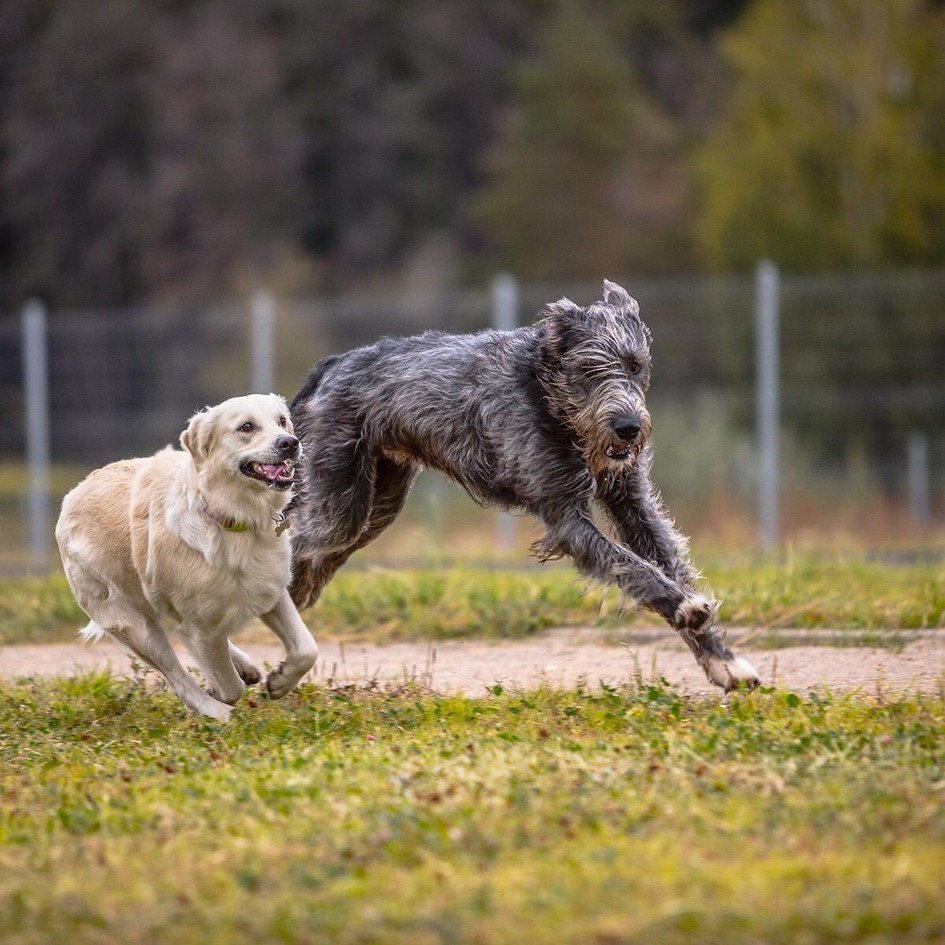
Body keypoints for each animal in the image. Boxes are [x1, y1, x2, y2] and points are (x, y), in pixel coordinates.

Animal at [56, 390, 320, 716]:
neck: (235, 519)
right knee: (178, 678)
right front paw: (220, 694)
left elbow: (307, 648)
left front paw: (281, 681)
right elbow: (229, 684)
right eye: (246, 427)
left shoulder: (270, 589)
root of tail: (75, 491)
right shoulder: (201, 628)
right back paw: (216, 711)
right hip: (135, 626)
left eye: (282, 421)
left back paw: (243, 667)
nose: (290, 442)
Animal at [288, 276, 760, 688]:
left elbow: (667, 561)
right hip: (339, 504)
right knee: (297, 542)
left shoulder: (633, 505)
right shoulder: (565, 515)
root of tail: (331, 365)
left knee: (313, 557)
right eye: (589, 369)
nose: (628, 428)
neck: (550, 398)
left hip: (375, 506)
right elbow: (629, 565)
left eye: (635, 365)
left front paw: (724, 663)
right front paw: (684, 607)